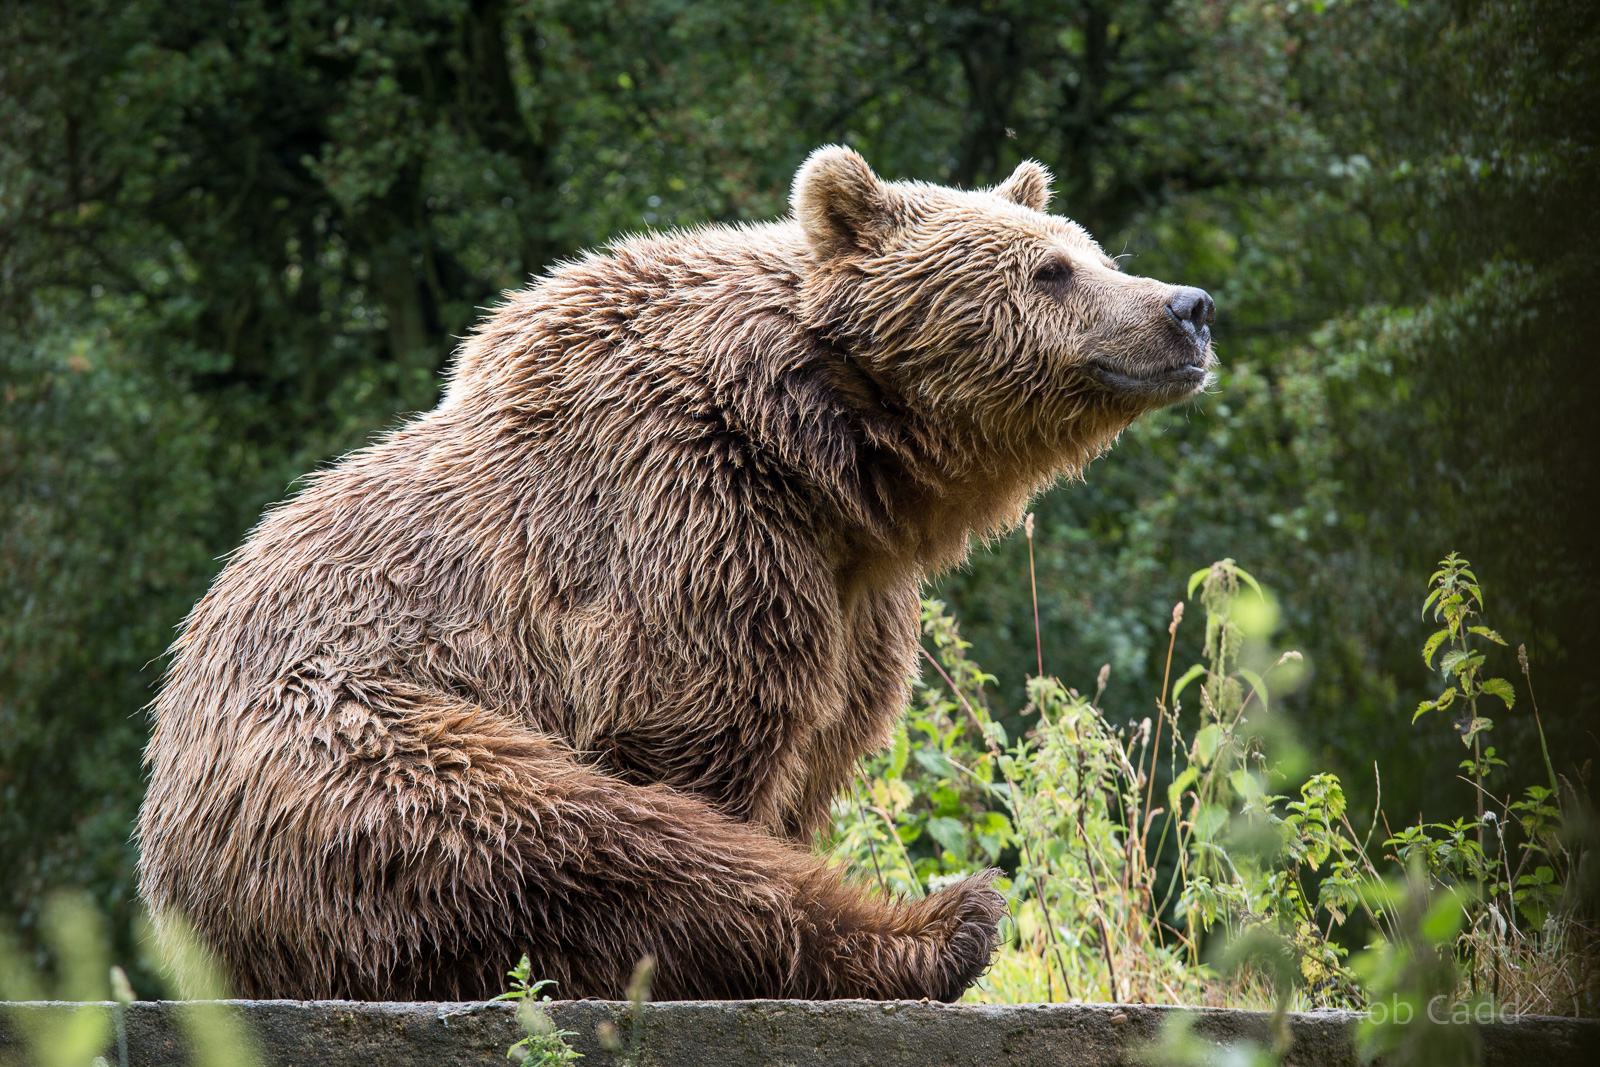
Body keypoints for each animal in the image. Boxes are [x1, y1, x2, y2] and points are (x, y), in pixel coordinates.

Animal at [136, 145, 1215, 1003]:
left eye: (1094, 249)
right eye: (1051, 269)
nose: (1188, 307)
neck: (820, 450)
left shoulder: (855, 597)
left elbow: (819, 749)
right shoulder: (692, 525)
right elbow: (702, 739)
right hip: (355, 759)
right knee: (585, 843)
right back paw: (943, 924)